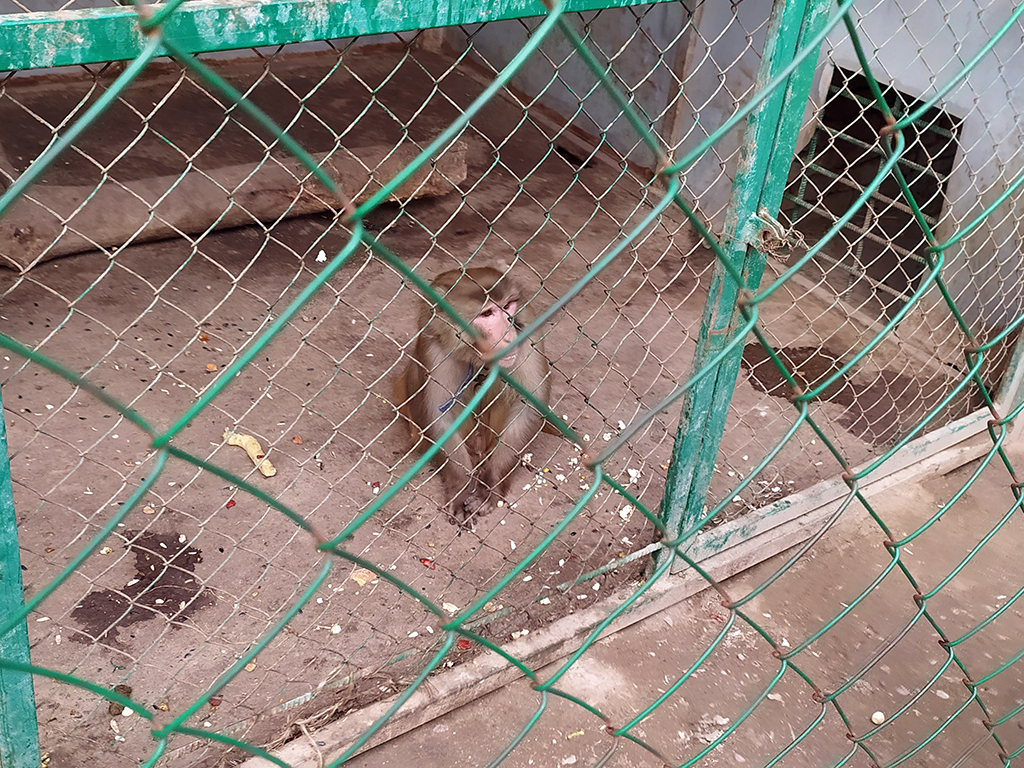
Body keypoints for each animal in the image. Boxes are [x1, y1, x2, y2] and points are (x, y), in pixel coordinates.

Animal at [395, 268, 548, 528]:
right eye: (487, 313)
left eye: (508, 305)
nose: (509, 333)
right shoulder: (434, 348)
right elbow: (440, 418)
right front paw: (461, 489)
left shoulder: (528, 335)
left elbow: (528, 405)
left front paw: (489, 488)